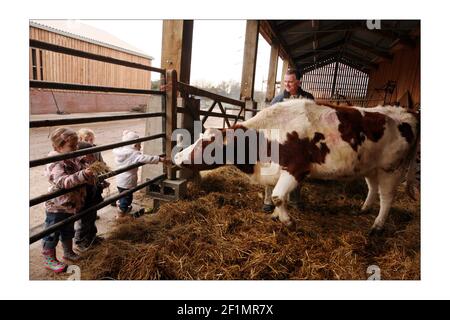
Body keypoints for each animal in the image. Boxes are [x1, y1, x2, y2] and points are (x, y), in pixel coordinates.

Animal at [173, 99, 418, 234]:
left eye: (208, 143)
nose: (177, 157)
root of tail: (406, 113)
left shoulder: (296, 168)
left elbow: (278, 196)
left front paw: (288, 222)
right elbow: (280, 196)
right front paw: (277, 216)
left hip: (391, 169)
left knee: (387, 198)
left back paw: (377, 226)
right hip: (370, 167)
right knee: (373, 188)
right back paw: (364, 209)